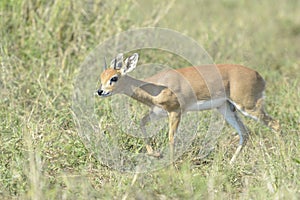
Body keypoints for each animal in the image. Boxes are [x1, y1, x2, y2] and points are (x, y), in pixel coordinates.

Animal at [96, 53, 282, 164]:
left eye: (114, 78)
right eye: (102, 77)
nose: (100, 91)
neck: (156, 87)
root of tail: (258, 75)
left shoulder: (175, 112)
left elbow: (171, 138)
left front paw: (170, 166)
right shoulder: (157, 113)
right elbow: (141, 123)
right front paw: (155, 154)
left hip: (249, 106)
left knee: (276, 124)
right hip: (226, 108)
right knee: (245, 133)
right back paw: (230, 164)